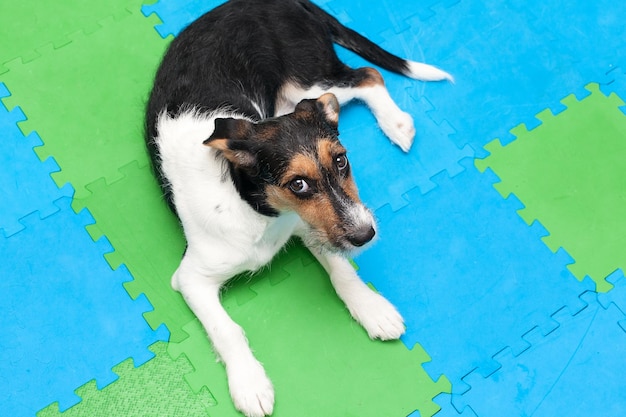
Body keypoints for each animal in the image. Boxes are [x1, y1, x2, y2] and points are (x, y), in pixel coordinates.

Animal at [144, 1, 450, 414]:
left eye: (341, 160)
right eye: (298, 184)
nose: (366, 235)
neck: (257, 211)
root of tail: (283, 3)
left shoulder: (312, 227)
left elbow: (342, 270)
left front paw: (371, 307)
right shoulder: (192, 278)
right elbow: (227, 329)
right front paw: (249, 383)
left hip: (310, 83)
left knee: (366, 76)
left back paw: (397, 123)